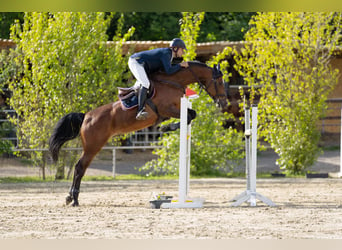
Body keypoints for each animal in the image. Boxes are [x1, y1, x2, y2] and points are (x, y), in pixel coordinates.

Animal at [48, 61, 227, 206]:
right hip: (93, 146)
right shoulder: (167, 109)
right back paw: (74, 199)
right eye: (219, 81)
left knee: (80, 168)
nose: (224, 103)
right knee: (80, 167)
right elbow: (189, 116)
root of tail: (86, 116)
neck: (173, 82)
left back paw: (70, 198)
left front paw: (165, 128)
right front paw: (165, 128)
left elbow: (192, 114)